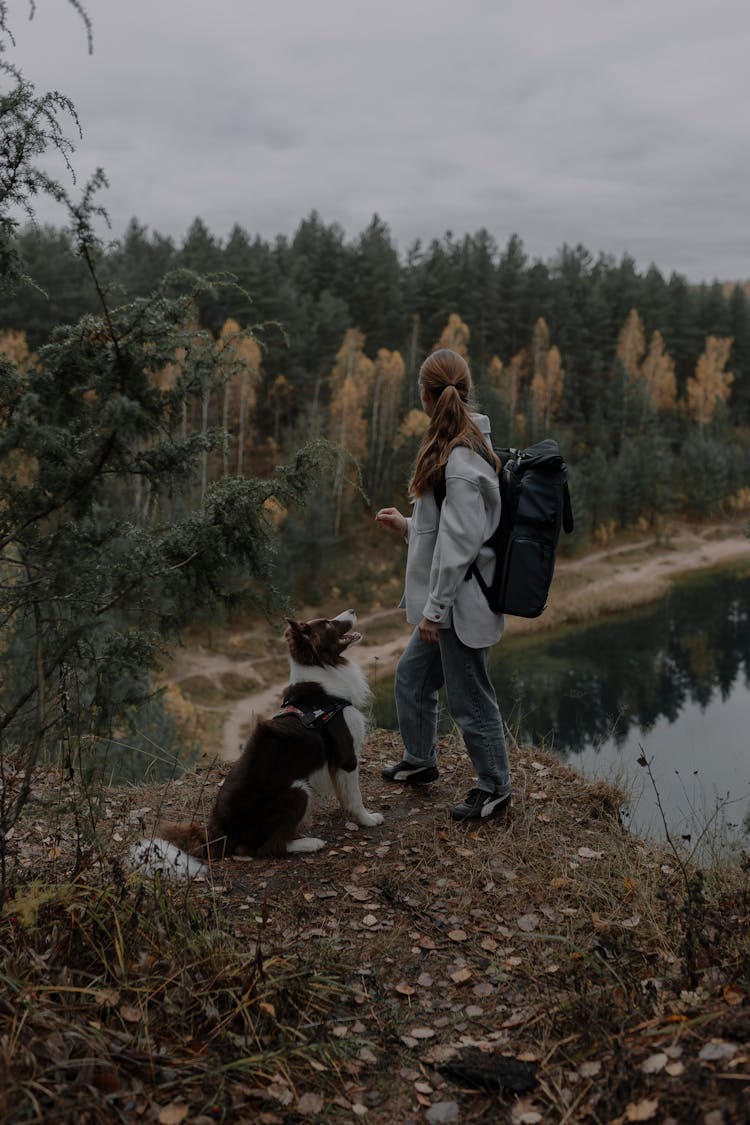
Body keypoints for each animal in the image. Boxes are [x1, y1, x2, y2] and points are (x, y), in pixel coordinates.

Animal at [128, 607, 382, 877]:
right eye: (326, 623)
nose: (353, 609)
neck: (323, 675)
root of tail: (222, 834)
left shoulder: (336, 764)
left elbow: (344, 794)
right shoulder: (347, 756)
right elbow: (355, 795)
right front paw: (367, 819)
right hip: (297, 789)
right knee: (267, 848)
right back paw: (308, 843)